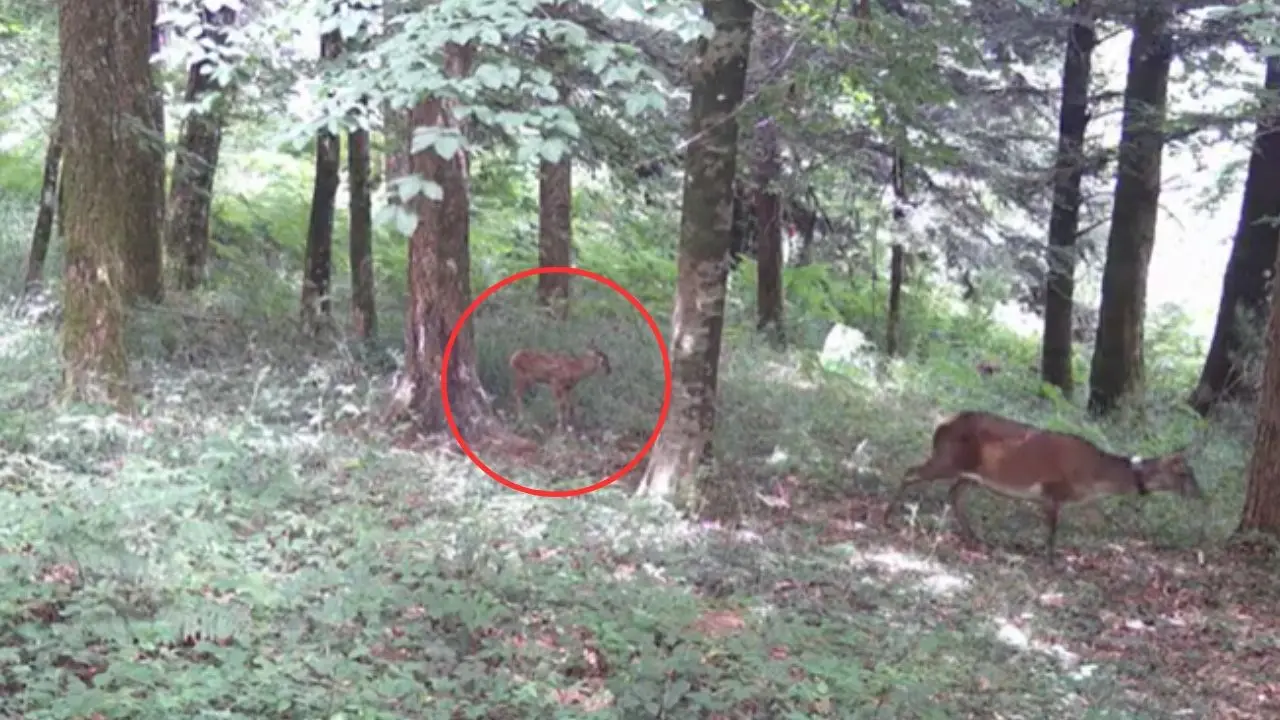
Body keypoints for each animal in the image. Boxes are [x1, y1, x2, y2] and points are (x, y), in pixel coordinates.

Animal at [885, 409, 1203, 561]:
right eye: (1185, 474)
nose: (1200, 494)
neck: (1094, 476)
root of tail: (939, 426)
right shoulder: (1053, 490)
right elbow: (1053, 529)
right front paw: (1051, 559)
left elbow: (1097, 524)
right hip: (949, 459)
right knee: (910, 472)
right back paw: (888, 515)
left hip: (971, 473)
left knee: (954, 494)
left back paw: (976, 538)